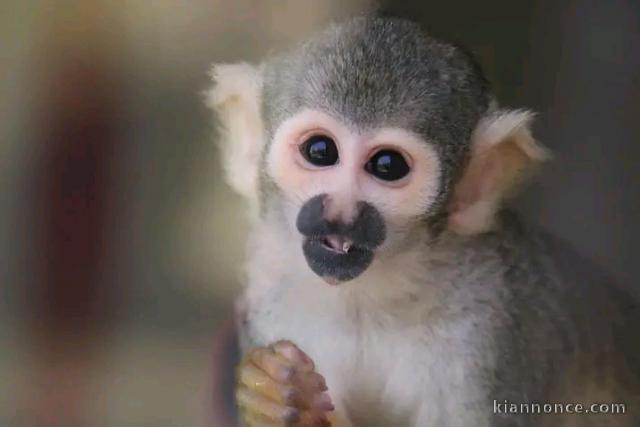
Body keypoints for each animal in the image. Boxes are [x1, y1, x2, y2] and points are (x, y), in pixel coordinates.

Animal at [206, 15, 640, 427]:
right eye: (320, 151)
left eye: (387, 165)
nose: (340, 214)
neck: (367, 296)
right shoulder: (269, 289)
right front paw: (274, 397)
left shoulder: (488, 325)